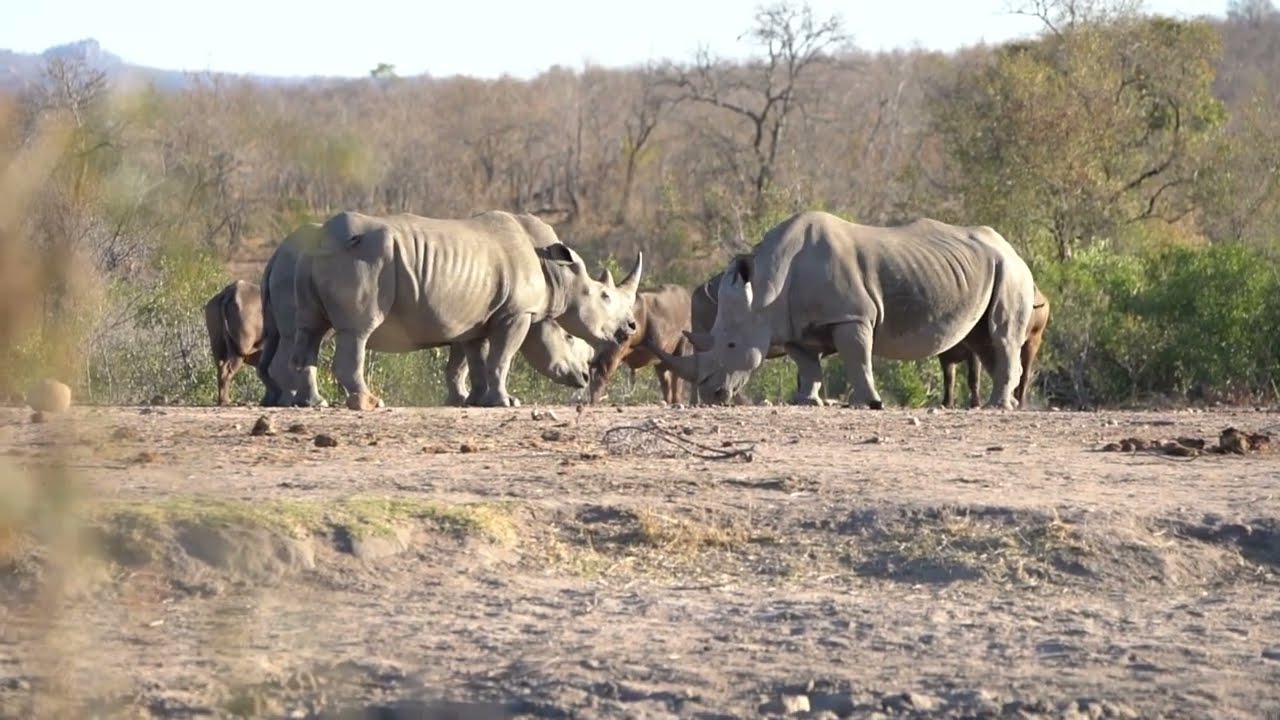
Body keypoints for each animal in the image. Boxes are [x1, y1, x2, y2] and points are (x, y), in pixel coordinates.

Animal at [290, 210, 643, 409]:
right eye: (604, 296)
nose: (630, 328)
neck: (559, 273)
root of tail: (325, 236)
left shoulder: (479, 318)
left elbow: (475, 360)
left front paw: (474, 401)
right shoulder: (516, 314)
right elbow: (502, 358)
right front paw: (507, 402)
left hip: (315, 256)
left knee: (309, 330)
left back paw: (313, 403)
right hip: (367, 257)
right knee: (358, 331)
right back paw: (369, 403)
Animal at [651, 211, 1037, 409]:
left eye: (731, 345)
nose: (711, 396)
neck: (765, 288)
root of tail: (1012, 248)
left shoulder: (852, 316)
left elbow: (858, 358)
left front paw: (870, 403)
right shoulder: (793, 326)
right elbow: (807, 364)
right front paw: (806, 401)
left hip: (1011, 271)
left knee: (1001, 336)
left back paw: (997, 407)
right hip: (992, 269)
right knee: (983, 340)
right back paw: (1003, 403)